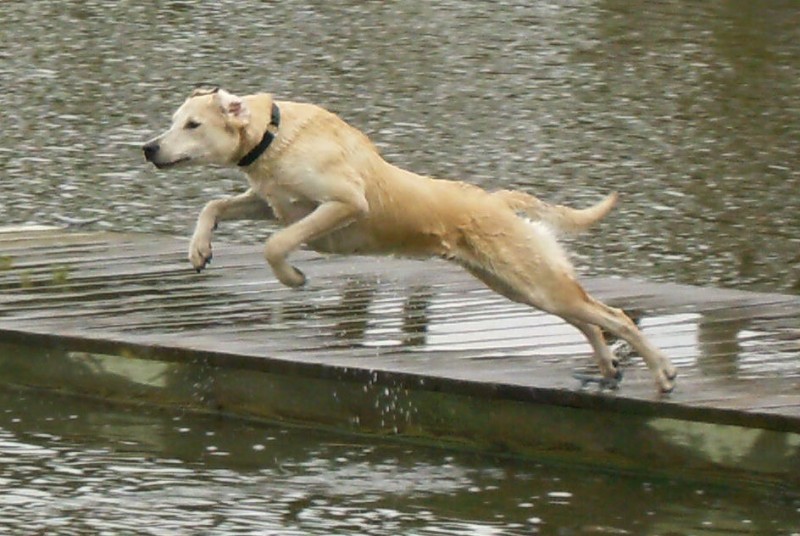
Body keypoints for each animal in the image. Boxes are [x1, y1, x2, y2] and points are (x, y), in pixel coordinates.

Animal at [142, 86, 676, 392]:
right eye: (172, 121)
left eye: (193, 124)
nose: (147, 148)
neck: (272, 135)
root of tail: (499, 201)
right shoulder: (265, 200)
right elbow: (214, 206)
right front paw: (199, 248)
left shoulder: (343, 204)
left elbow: (275, 244)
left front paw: (293, 278)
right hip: (522, 286)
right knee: (588, 319)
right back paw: (608, 368)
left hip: (533, 282)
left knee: (615, 316)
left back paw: (663, 373)